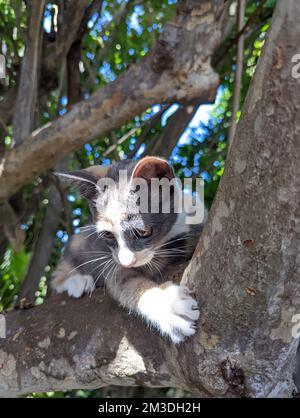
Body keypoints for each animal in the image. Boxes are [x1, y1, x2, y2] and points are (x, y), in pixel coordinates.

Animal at [52, 157, 205, 342]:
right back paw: (77, 281)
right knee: (58, 276)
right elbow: (126, 282)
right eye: (107, 234)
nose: (127, 261)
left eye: (143, 231)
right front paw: (169, 306)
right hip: (79, 242)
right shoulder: (114, 266)